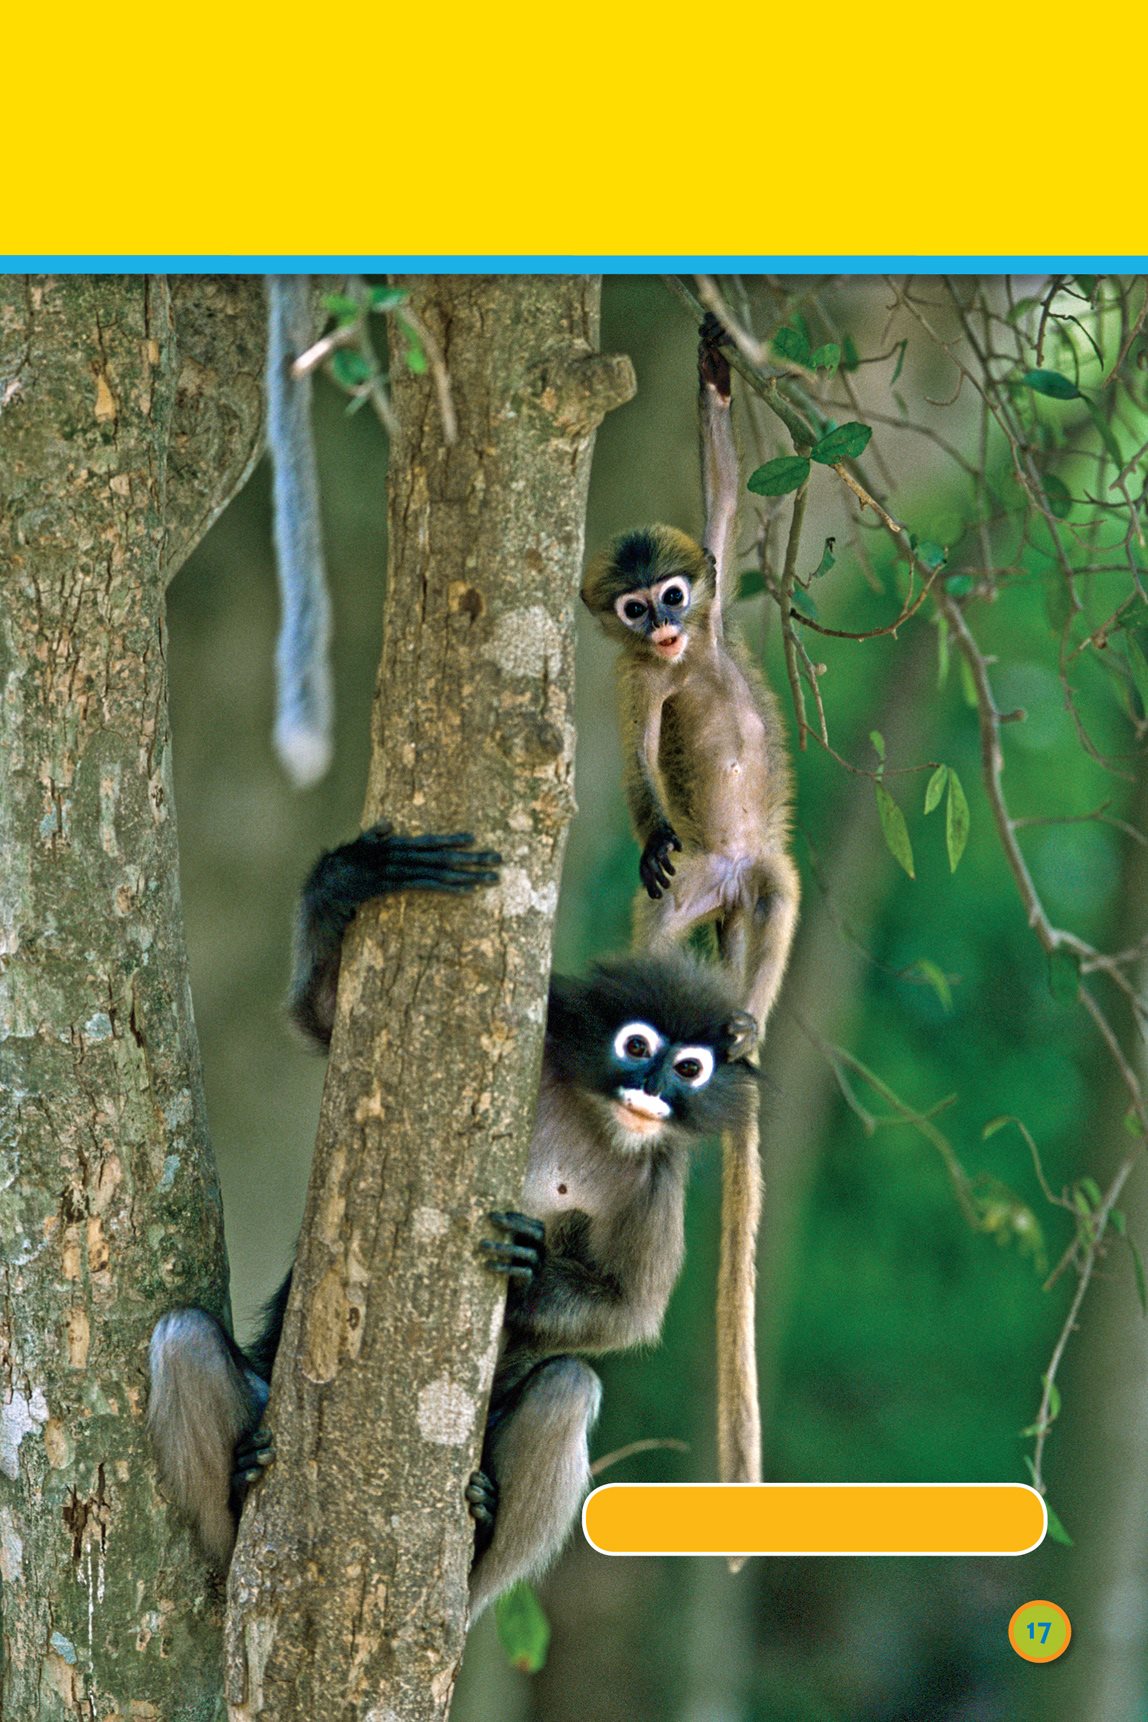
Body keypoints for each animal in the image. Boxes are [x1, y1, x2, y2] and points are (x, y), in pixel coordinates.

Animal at [150, 819, 764, 1611]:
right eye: (637, 1046)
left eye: (689, 1068)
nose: (652, 1091)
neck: (592, 1114)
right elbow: (323, 1018)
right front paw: (354, 875)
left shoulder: (660, 1176)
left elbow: (630, 1310)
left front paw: (531, 1272)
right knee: (184, 1337)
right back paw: (239, 1493)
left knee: (570, 1386)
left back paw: (478, 1543)